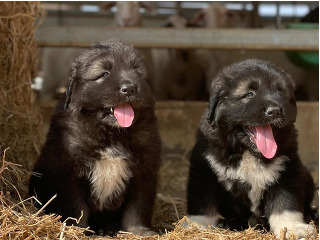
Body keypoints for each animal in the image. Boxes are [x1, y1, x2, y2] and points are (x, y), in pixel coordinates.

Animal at [29, 38, 161, 235]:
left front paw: (140, 231)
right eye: (104, 74)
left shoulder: (144, 171)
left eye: (137, 72)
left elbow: (138, 206)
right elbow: (76, 207)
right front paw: (76, 230)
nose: (129, 88)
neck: (113, 134)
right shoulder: (68, 172)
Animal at [188, 58, 316, 238]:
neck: (247, 152)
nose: (274, 111)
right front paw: (195, 226)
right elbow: (202, 203)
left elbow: (285, 205)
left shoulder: (286, 171)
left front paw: (294, 228)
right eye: (249, 94)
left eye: (281, 93)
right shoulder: (204, 171)